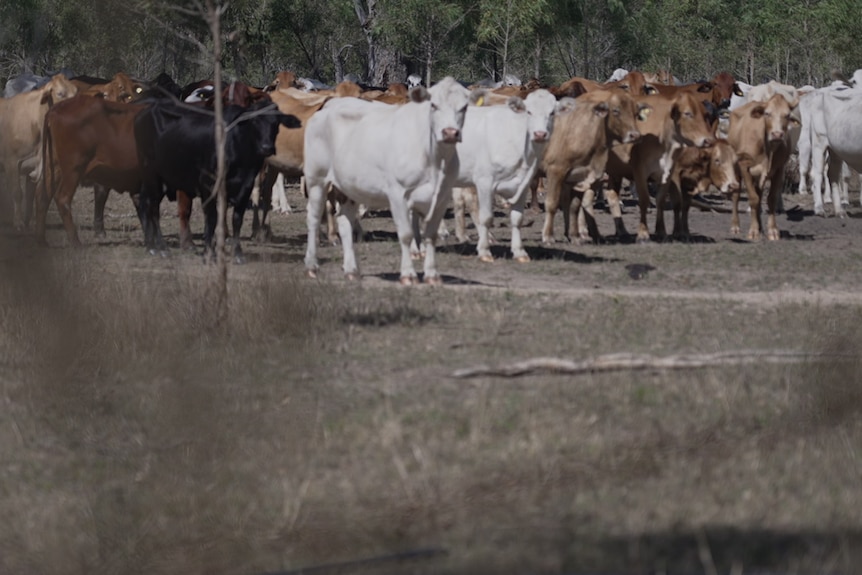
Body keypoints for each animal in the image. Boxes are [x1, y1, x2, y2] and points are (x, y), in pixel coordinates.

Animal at [0, 73, 78, 230]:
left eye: (76, 92)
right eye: (60, 93)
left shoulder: (34, 165)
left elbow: (30, 197)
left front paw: (28, 223)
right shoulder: (11, 161)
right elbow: (17, 192)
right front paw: (18, 223)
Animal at [304, 76, 480, 284]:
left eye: (464, 107)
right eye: (433, 105)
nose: (450, 132)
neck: (434, 159)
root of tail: (325, 109)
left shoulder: (442, 197)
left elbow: (431, 235)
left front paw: (432, 275)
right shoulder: (398, 194)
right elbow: (405, 234)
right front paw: (408, 274)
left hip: (349, 187)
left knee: (345, 221)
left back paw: (351, 270)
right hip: (317, 179)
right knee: (313, 218)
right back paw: (312, 266)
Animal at [438, 91, 572, 262]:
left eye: (552, 113)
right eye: (529, 112)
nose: (540, 134)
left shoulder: (523, 185)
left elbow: (517, 219)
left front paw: (520, 252)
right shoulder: (484, 182)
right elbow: (486, 217)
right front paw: (484, 251)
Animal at [728, 93, 804, 241]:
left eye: (787, 115)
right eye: (767, 113)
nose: (777, 134)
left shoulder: (779, 169)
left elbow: (771, 198)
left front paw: (772, 230)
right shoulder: (745, 167)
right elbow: (753, 199)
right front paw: (753, 231)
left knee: (759, 194)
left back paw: (760, 227)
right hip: (736, 169)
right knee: (736, 196)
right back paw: (735, 226)